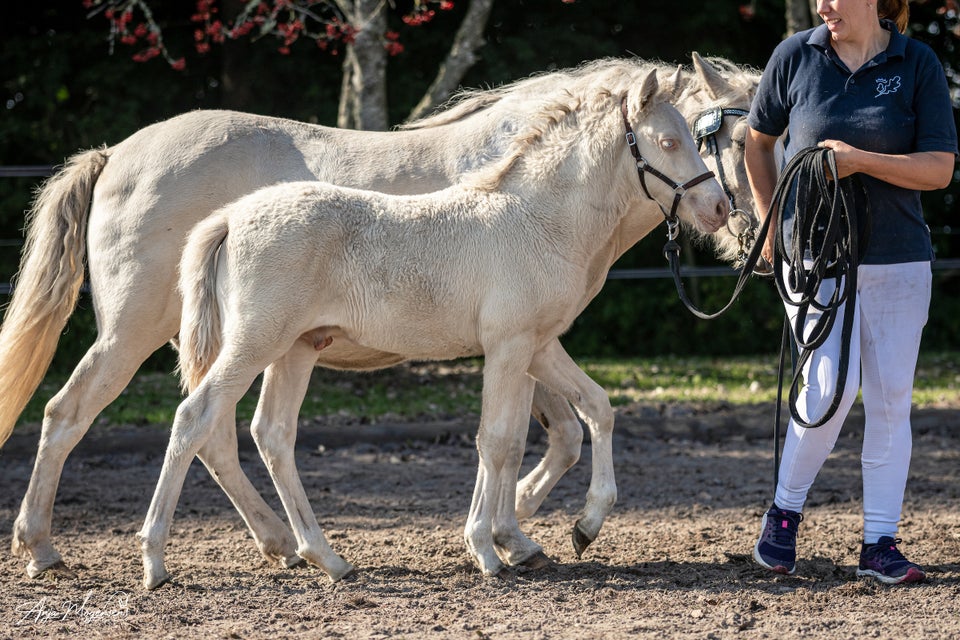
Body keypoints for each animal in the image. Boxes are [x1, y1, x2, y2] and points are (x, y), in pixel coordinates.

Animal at [0, 53, 756, 580]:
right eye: (672, 142)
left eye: (698, 136)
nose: (723, 209)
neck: (531, 213)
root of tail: (231, 217)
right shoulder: (510, 346)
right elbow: (501, 440)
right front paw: (493, 547)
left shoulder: (538, 346)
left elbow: (585, 415)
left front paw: (571, 528)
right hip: (208, 338)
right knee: (155, 417)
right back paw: (124, 557)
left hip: (291, 349)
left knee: (262, 433)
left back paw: (316, 554)